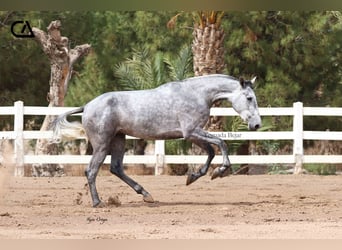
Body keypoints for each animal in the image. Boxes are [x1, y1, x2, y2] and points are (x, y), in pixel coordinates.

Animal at [52, 74, 262, 207]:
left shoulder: (192, 134)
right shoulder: (191, 132)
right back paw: (98, 202)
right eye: (249, 98)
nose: (257, 125)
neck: (196, 94)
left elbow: (210, 152)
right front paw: (220, 172)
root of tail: (87, 106)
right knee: (92, 170)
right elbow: (221, 144)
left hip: (119, 140)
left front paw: (194, 177)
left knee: (116, 168)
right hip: (102, 145)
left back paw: (146, 195)